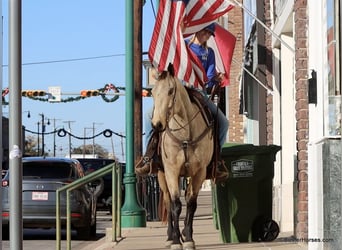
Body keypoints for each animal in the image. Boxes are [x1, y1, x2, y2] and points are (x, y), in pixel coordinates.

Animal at [152, 65, 214, 250]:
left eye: (170, 90)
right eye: (152, 92)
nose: (157, 124)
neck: (186, 134)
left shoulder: (199, 172)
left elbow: (191, 204)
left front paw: (189, 239)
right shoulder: (171, 171)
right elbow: (176, 205)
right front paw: (175, 241)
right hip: (161, 176)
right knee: (168, 202)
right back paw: (170, 236)